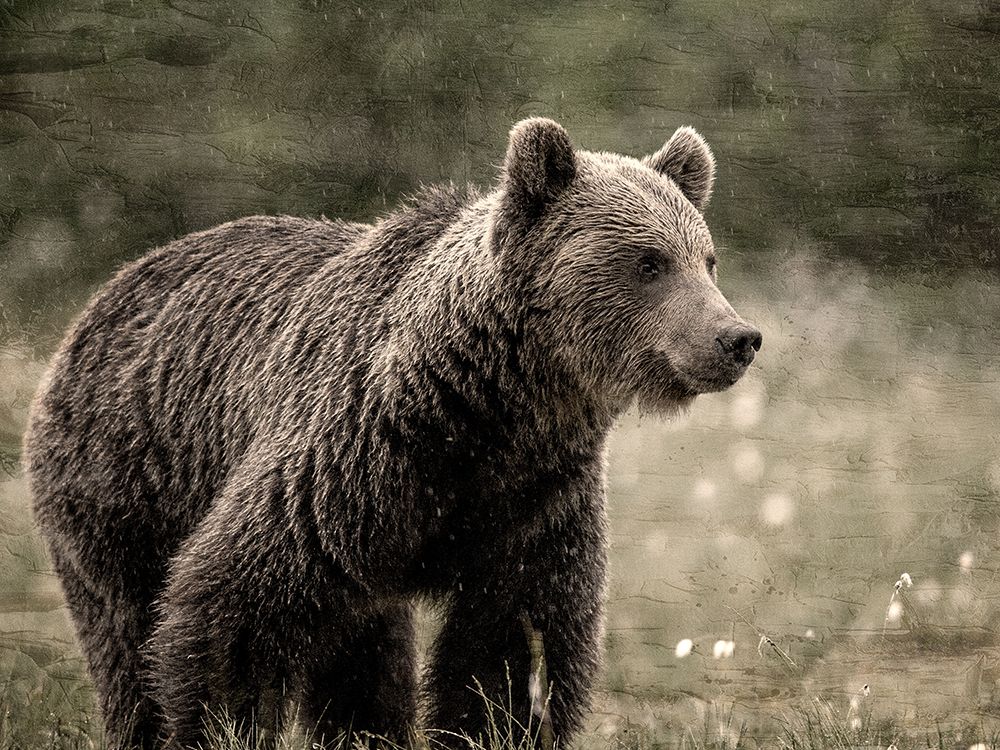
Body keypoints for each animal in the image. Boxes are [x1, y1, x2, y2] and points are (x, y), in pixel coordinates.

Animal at [24, 117, 761, 750]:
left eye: (707, 258)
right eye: (649, 261)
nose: (737, 338)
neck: (491, 407)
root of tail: (103, 296)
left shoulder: (535, 497)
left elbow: (513, 643)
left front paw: (494, 727)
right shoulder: (354, 459)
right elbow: (233, 610)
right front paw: (220, 726)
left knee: (363, 653)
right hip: (126, 480)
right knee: (128, 632)